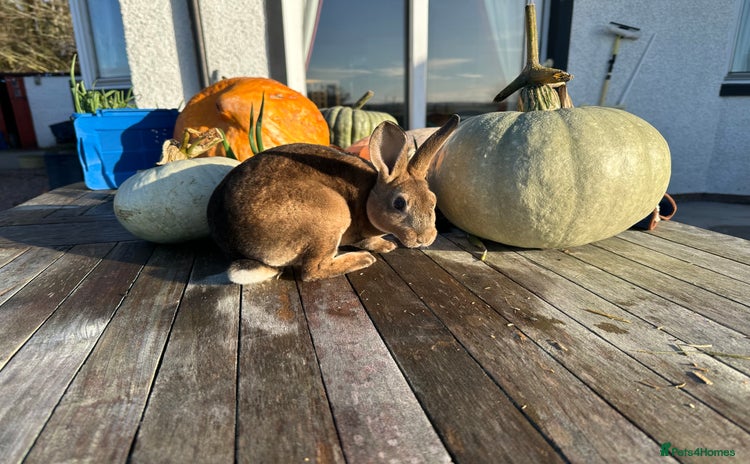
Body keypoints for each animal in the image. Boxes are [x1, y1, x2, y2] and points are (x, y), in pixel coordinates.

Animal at [207, 114, 459, 284]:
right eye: (399, 204)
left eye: (433, 201)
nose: (424, 238)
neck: (368, 196)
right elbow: (367, 240)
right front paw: (385, 246)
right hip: (330, 217)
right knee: (312, 271)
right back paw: (362, 259)